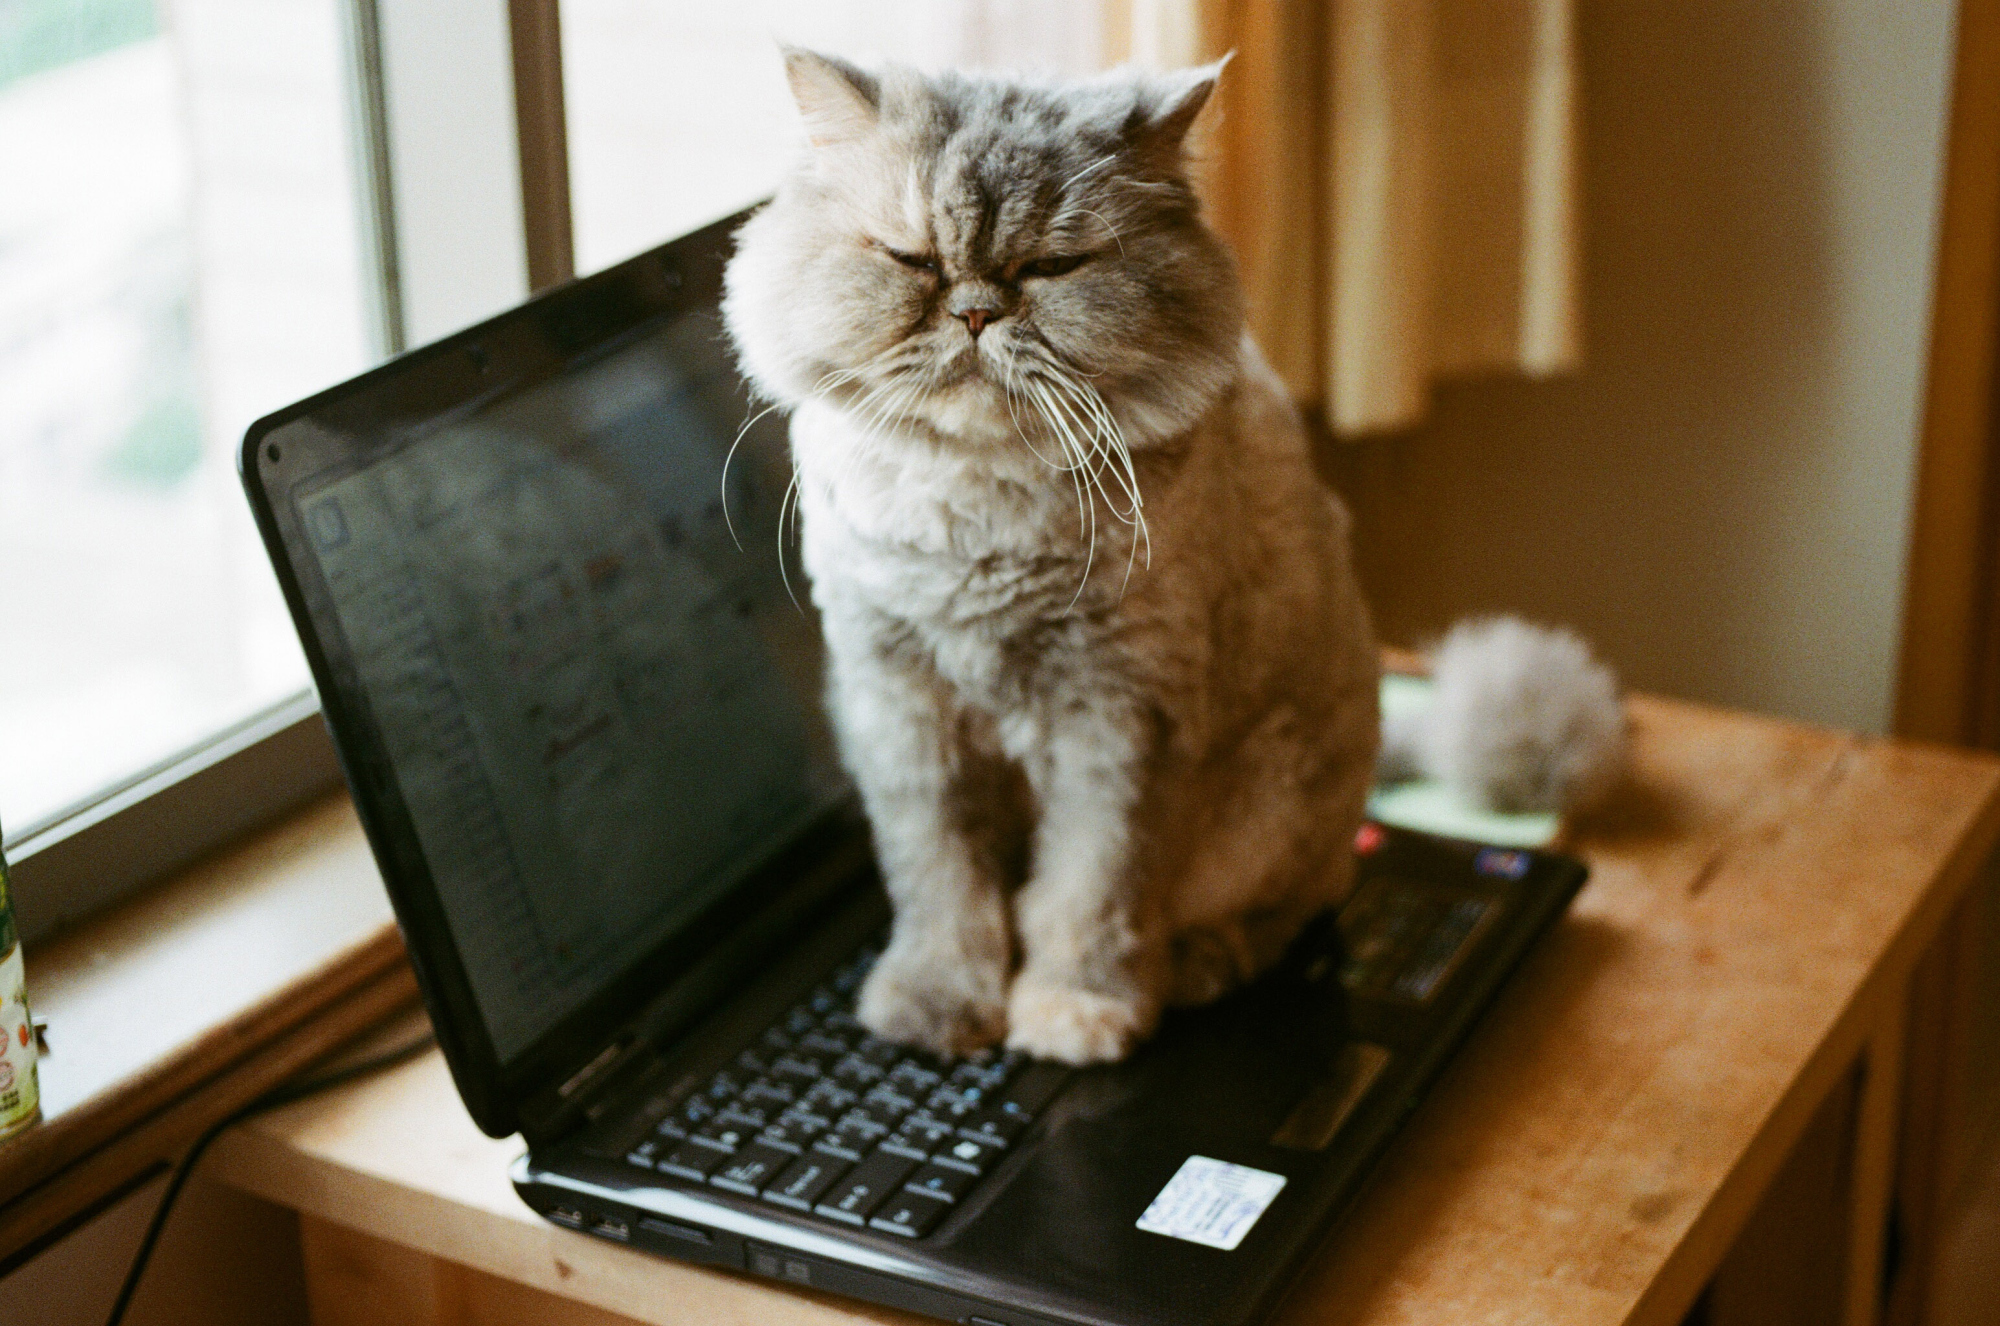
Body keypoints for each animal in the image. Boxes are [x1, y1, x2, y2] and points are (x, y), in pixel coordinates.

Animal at [724, 52, 1624, 1072]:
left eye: (1051, 267)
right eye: (913, 259)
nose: (976, 313)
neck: (976, 517)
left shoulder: (1116, 724)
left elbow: (1088, 898)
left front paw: (1072, 1018)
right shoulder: (906, 713)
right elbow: (945, 891)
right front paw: (939, 1008)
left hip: (1275, 807)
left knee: (1290, 912)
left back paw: (1193, 968)